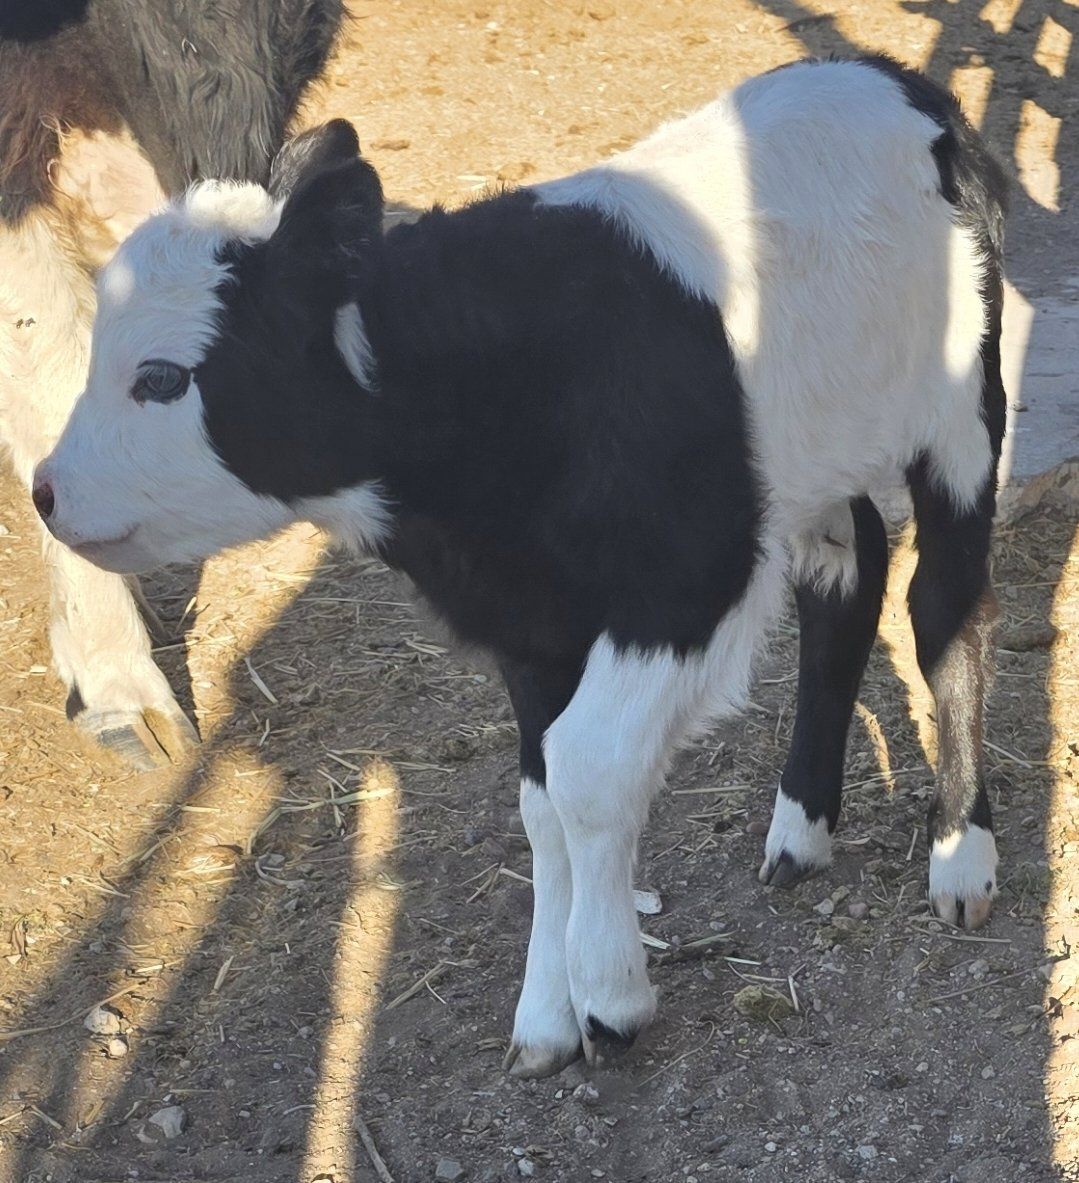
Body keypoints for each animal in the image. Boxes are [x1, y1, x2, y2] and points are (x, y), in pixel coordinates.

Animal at [33, 57, 1008, 1076]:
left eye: (161, 378)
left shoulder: (682, 580)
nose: (46, 492)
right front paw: (546, 1013)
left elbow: (586, 768)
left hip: (958, 413)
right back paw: (800, 829)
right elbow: (541, 800)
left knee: (944, 606)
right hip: (811, 452)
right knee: (848, 574)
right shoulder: (531, 619)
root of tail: (893, 80)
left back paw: (959, 854)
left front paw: (609, 994)